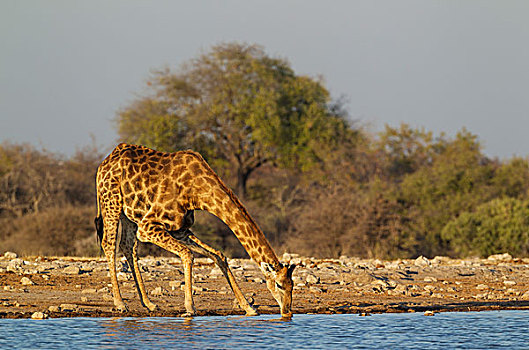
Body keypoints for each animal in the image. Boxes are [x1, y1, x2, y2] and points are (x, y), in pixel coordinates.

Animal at [93, 144, 294, 318]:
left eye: (292, 285)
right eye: (278, 285)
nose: (288, 312)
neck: (198, 193)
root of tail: (105, 162)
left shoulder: (181, 229)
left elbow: (218, 255)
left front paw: (249, 308)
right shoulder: (148, 226)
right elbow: (188, 254)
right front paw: (190, 308)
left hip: (129, 214)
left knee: (127, 246)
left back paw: (148, 303)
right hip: (111, 202)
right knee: (109, 244)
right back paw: (120, 303)